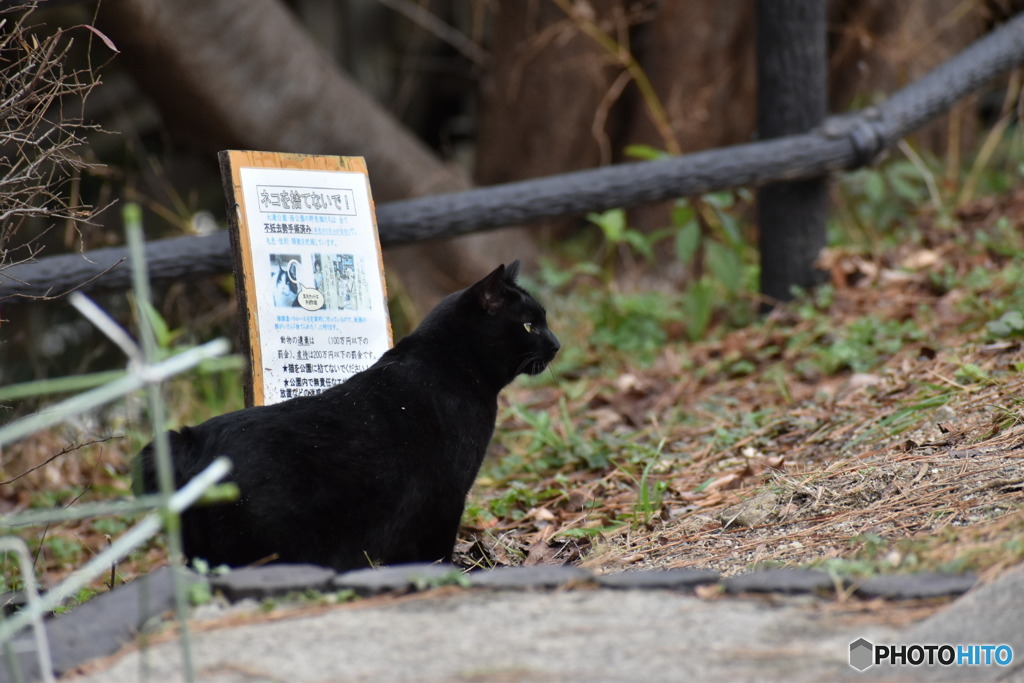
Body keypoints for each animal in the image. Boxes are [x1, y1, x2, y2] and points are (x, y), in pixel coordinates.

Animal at [136, 262, 561, 573]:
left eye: (544, 320)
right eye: (529, 325)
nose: (557, 343)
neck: (450, 361)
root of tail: (190, 439)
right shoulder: (447, 496)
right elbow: (435, 549)